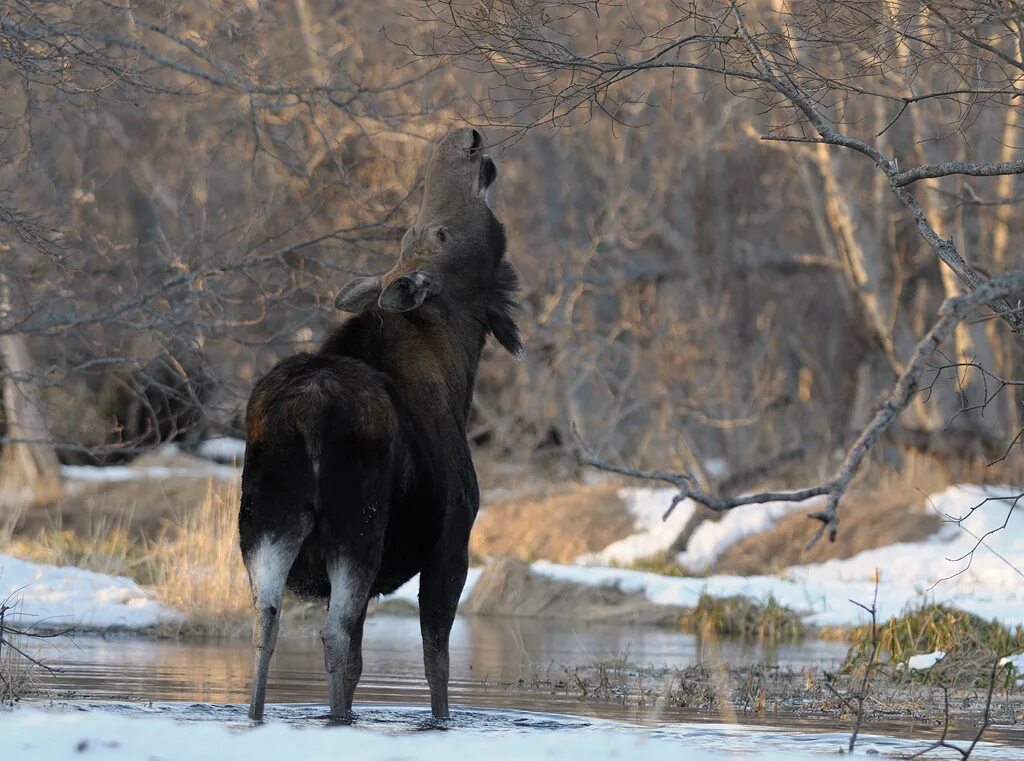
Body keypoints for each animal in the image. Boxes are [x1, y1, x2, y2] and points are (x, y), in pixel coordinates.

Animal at [234, 128, 516, 725]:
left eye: (416, 231)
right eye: (437, 232)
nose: (463, 138)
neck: (462, 362)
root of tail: (308, 412)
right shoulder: (453, 544)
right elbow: (437, 665)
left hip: (266, 522)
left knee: (264, 624)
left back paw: (257, 714)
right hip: (357, 530)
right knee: (336, 636)